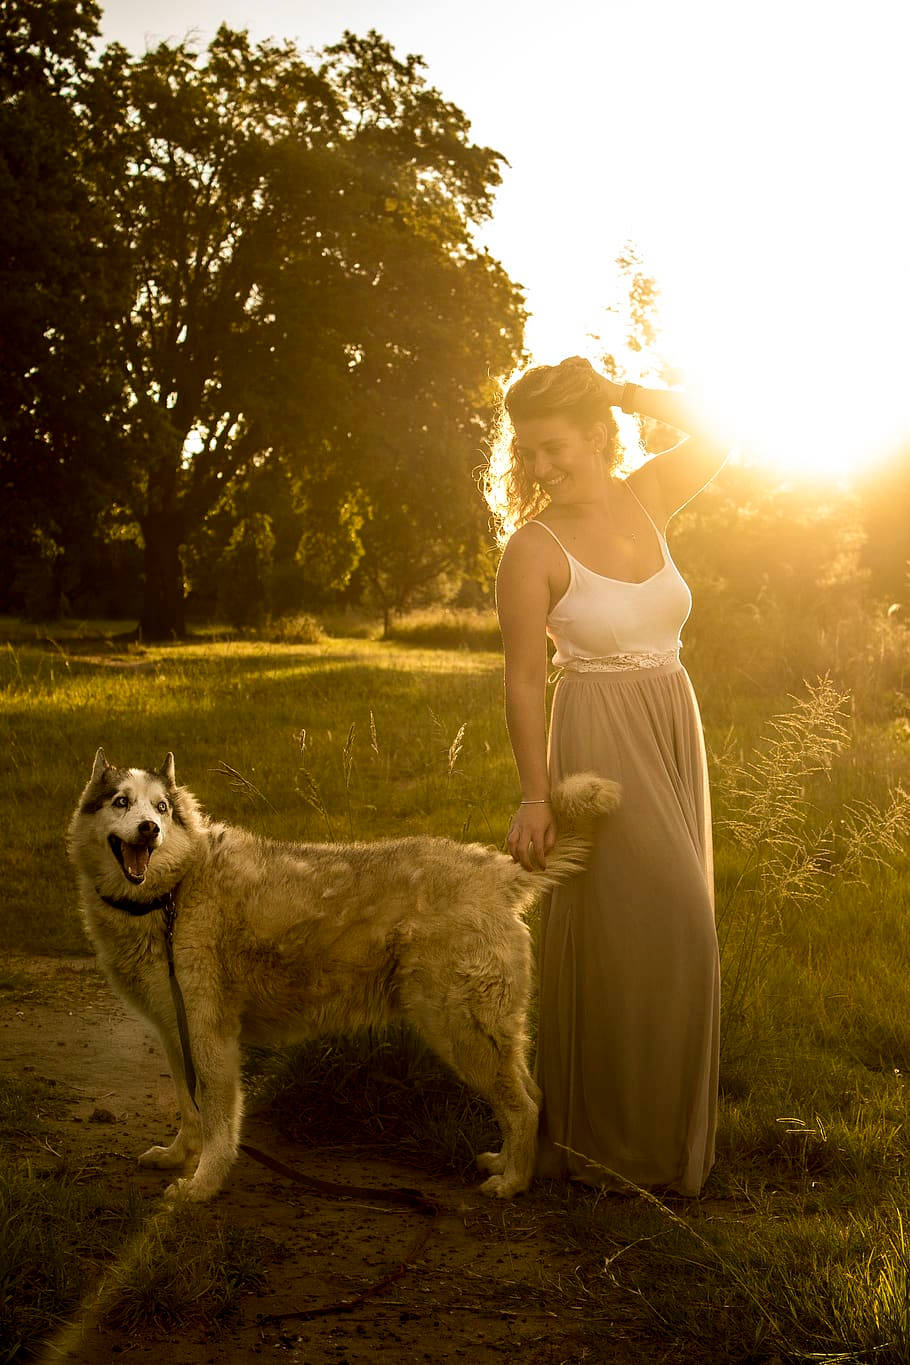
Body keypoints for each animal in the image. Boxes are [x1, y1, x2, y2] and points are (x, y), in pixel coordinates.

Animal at [65, 753, 619, 1201]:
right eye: (121, 802)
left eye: (161, 808)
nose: (148, 830)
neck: (174, 893)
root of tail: (497, 872)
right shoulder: (173, 1033)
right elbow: (189, 1109)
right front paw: (179, 1156)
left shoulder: (211, 1035)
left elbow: (220, 1123)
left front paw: (203, 1184)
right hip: (486, 1035)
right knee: (533, 1097)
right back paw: (505, 1162)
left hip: (460, 1033)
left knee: (523, 1106)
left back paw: (513, 1183)